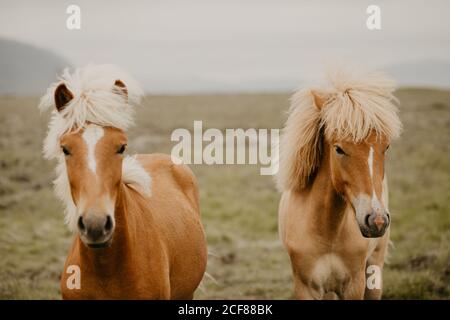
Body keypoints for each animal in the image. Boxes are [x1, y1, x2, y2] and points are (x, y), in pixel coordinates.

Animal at [276, 70, 402, 300]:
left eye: (386, 147)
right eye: (339, 149)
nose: (377, 221)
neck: (327, 232)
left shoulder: (354, 285)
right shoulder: (306, 287)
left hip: (374, 267)